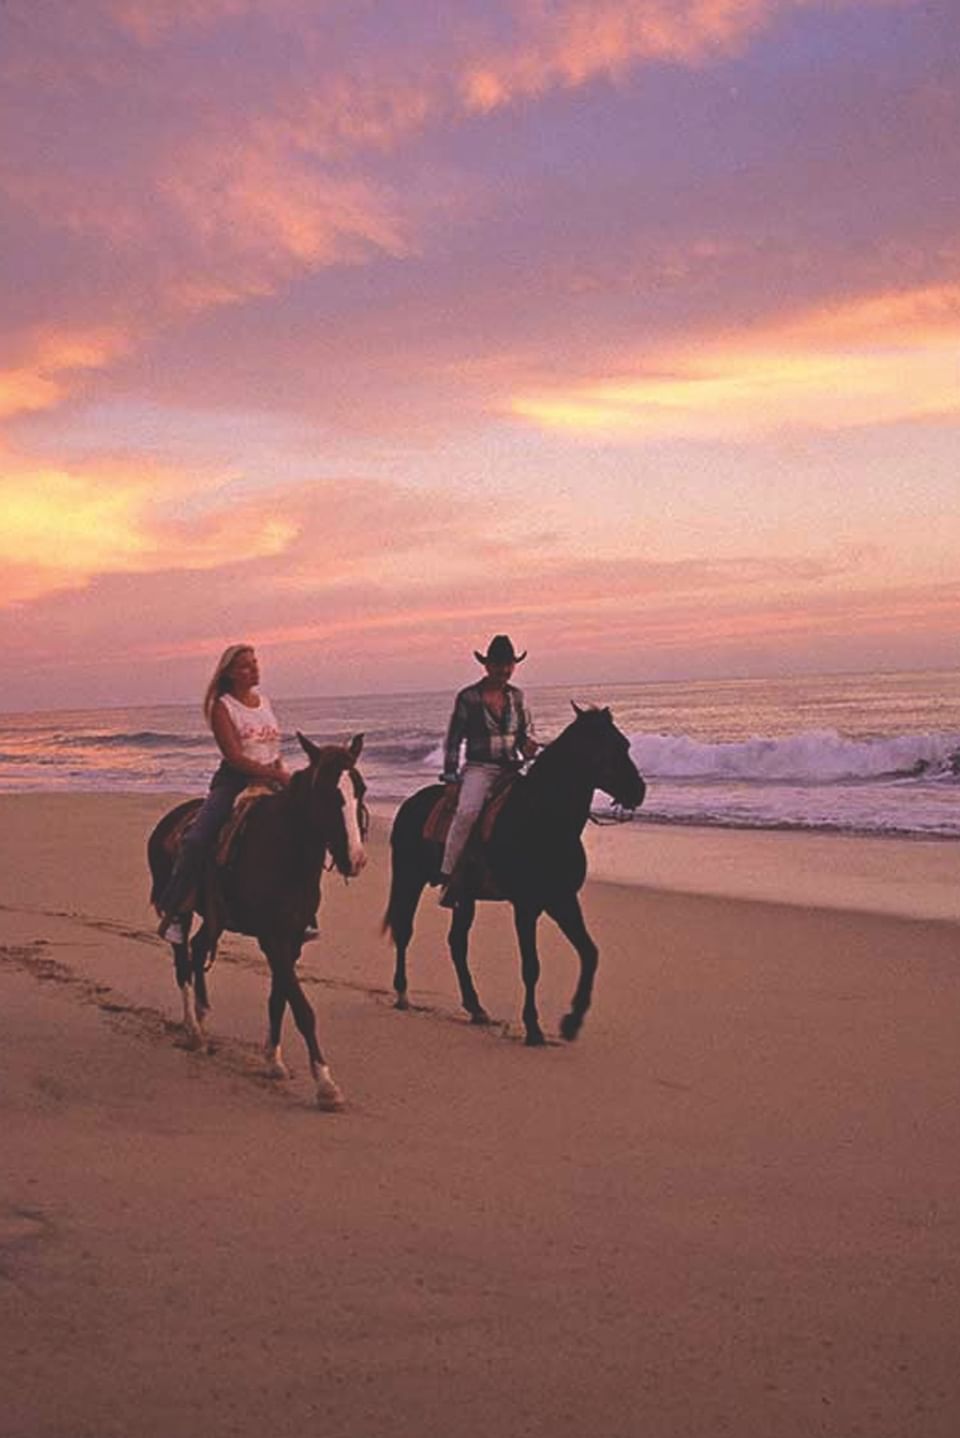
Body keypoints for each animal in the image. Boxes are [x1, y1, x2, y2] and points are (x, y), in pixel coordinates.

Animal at [147, 736, 367, 1104]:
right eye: (327, 794)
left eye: (360, 790)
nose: (356, 860)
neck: (286, 853)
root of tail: (167, 822)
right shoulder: (272, 938)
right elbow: (302, 1009)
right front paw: (325, 1083)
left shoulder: (292, 939)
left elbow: (279, 999)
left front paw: (273, 1061)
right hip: (182, 908)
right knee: (182, 960)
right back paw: (193, 1031)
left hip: (216, 918)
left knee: (198, 947)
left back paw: (203, 1015)